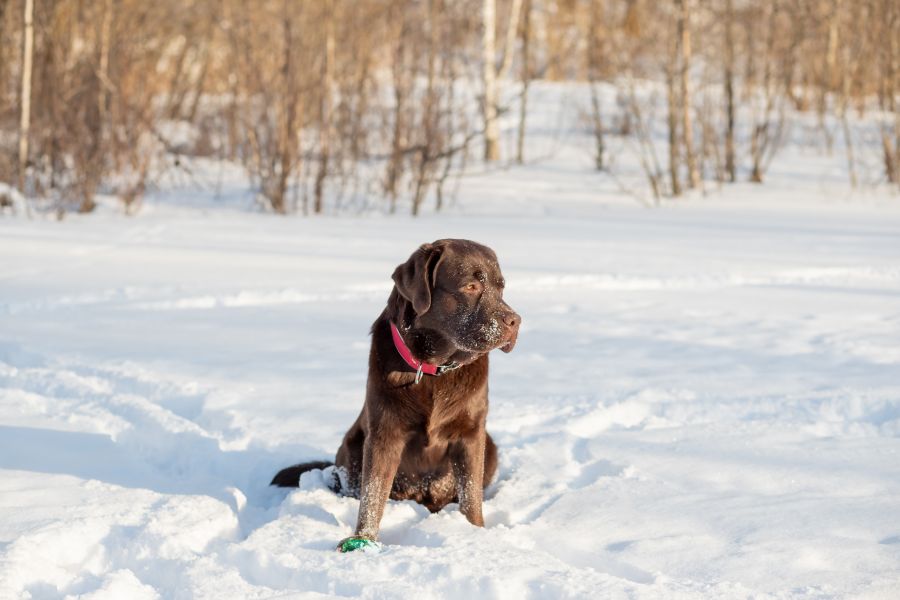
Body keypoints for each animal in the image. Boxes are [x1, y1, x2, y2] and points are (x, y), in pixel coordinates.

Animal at [268, 238, 520, 548]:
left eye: (501, 287)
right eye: (471, 286)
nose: (515, 321)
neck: (432, 369)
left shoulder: (471, 433)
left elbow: (471, 494)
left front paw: (475, 532)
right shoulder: (384, 431)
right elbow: (373, 493)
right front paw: (363, 539)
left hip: (490, 445)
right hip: (353, 446)